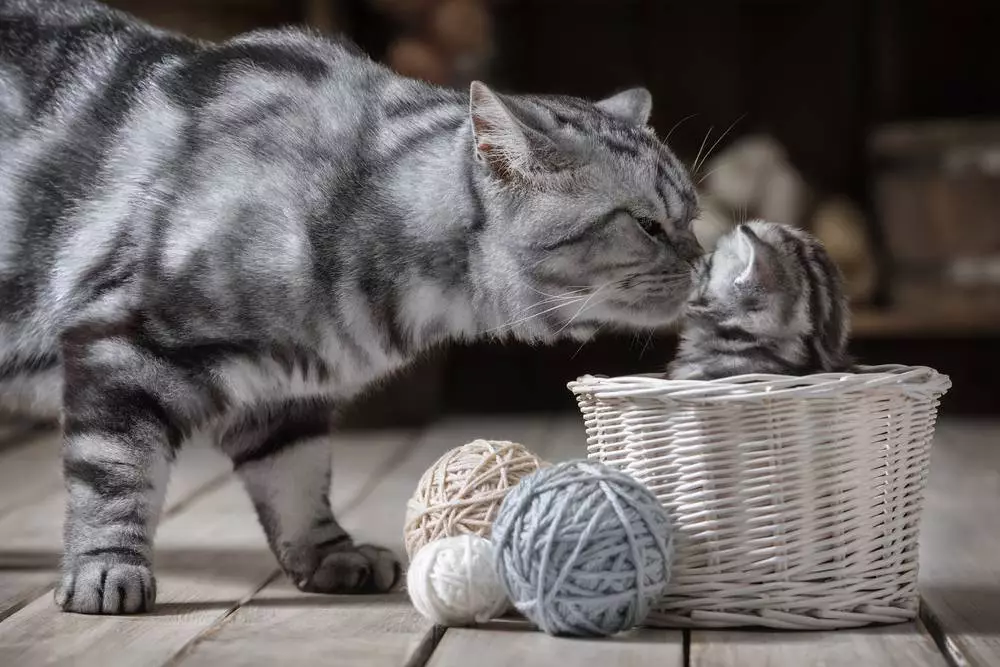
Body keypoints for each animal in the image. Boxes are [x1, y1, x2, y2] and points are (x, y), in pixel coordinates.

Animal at [0, 0, 704, 616]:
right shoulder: (122, 344)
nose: (701, 260)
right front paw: (105, 571)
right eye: (647, 224)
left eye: (691, 217)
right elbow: (115, 477)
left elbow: (298, 484)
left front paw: (329, 555)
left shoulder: (286, 397)